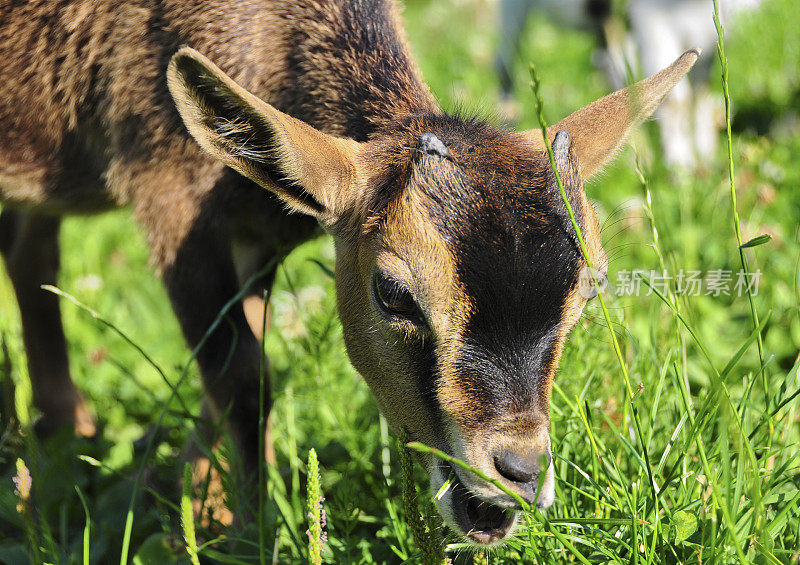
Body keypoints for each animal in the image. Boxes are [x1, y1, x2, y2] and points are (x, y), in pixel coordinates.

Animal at [0, 1, 696, 548]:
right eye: (394, 294)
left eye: (586, 294)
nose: (518, 473)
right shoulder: (169, 196)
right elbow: (241, 378)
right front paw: (254, 532)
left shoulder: (263, 226)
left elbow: (230, 371)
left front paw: (197, 513)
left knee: (31, 248)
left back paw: (64, 432)